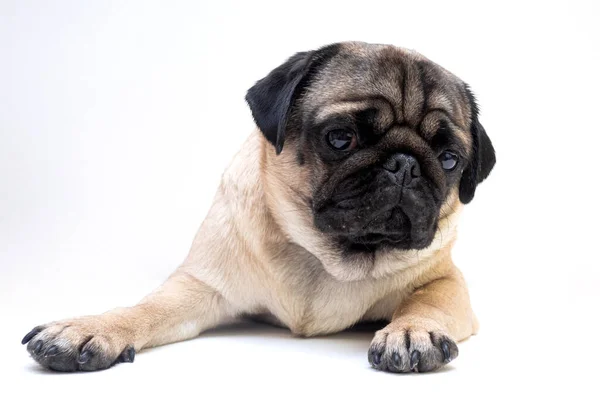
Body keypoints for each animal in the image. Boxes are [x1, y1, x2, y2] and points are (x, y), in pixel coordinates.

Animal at [21, 40, 494, 372]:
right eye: (341, 137)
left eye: (449, 159)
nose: (404, 165)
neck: (329, 257)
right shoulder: (200, 285)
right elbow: (147, 308)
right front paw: (93, 328)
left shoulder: (445, 280)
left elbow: (426, 301)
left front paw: (413, 331)